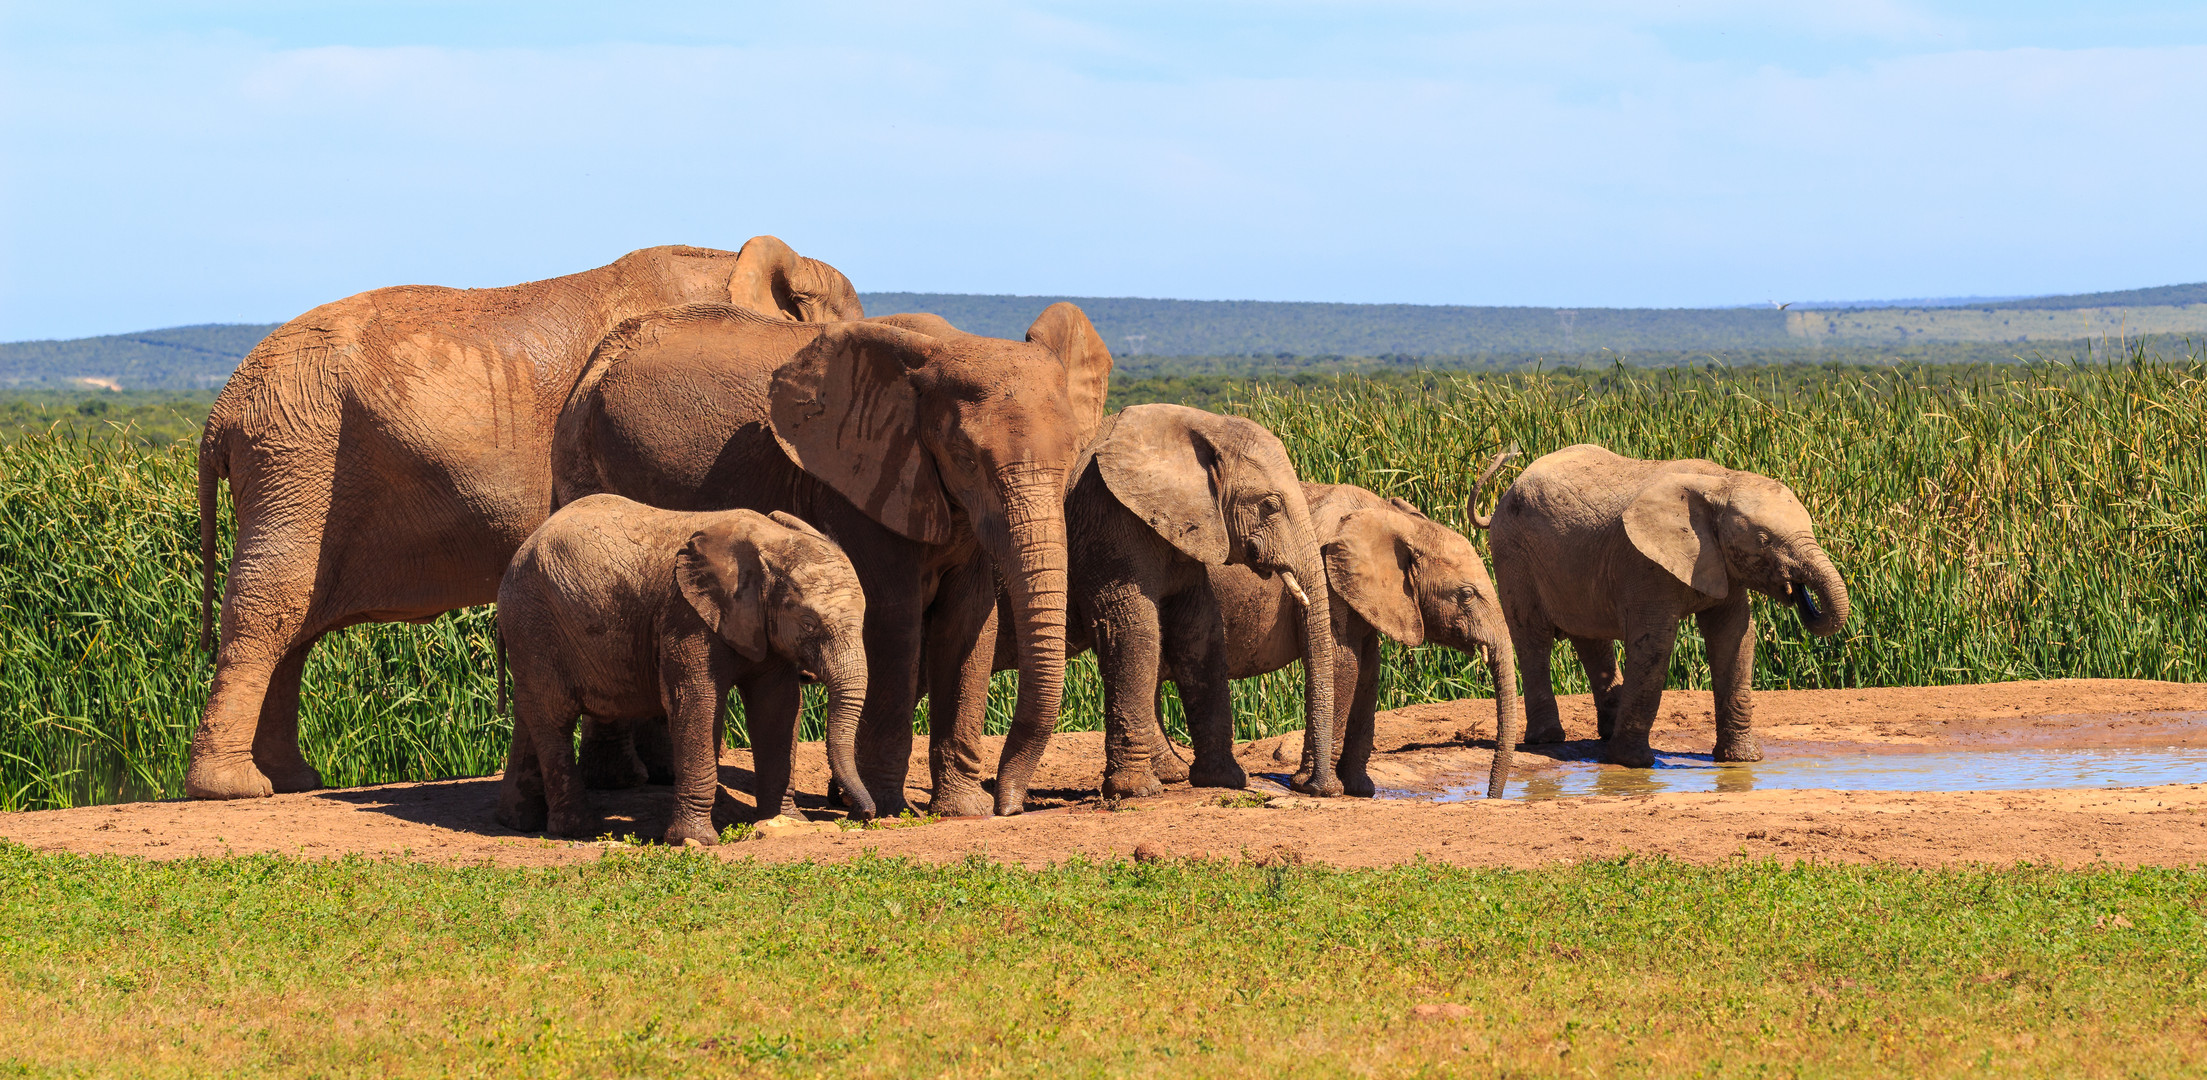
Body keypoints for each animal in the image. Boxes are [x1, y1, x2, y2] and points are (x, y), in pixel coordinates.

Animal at [189, 236, 860, 799]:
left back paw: (292, 781)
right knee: (272, 601)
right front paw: (643, 777)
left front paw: (644, 775)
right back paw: (235, 788)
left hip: (295, 459)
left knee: (297, 622)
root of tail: (220, 411)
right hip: (297, 452)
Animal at [496, 494, 865, 843]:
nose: (857, 812)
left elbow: (779, 707)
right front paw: (695, 840)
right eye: (808, 623)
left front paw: (787, 823)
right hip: (534, 621)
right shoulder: (686, 615)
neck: (771, 541)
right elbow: (697, 702)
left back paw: (520, 822)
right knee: (554, 717)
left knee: (530, 715)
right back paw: (578, 828)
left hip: (529, 626)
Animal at [545, 298, 1112, 812]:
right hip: (582, 455)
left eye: (1073, 457)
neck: (942, 352)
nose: (1010, 803)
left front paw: (962, 811)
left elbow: (969, 620)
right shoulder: (857, 484)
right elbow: (894, 621)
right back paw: (624, 786)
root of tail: (598, 360)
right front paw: (890, 808)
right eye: (966, 458)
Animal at [1050, 399, 1341, 795]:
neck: (1202, 425)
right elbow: (1133, 629)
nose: (1313, 787)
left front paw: (1224, 779)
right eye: (1270, 505)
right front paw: (1136, 792)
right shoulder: (1104, 512)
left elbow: (1200, 630)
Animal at [1474, 443, 1853, 764]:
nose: (1799, 593)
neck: (1721, 483)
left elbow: (1735, 637)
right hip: (1511, 552)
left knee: (1591, 639)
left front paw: (1742, 760)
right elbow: (1654, 643)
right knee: (1532, 637)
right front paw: (1632, 763)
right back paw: (1548, 740)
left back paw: (1606, 732)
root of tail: (1504, 495)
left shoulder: (1719, 563)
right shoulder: (1644, 561)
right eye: (1763, 540)